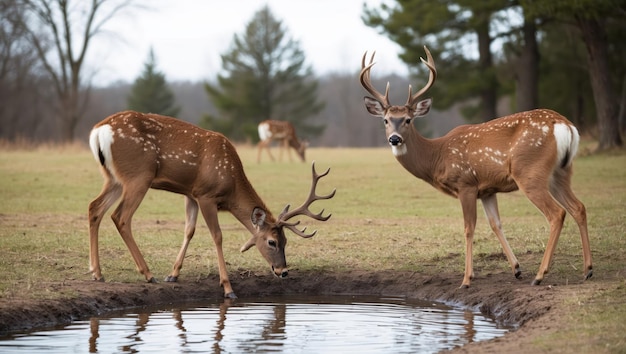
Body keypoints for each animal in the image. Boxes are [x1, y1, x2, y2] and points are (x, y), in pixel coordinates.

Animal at [86, 110, 336, 298]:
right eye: (272, 242)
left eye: (286, 241)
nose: (283, 271)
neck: (231, 184)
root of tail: (99, 130)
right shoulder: (206, 195)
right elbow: (217, 235)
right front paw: (228, 288)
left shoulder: (191, 193)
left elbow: (189, 230)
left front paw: (173, 274)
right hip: (138, 175)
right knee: (120, 217)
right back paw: (147, 274)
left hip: (113, 177)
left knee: (94, 208)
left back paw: (97, 273)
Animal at [358, 45, 588, 288]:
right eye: (385, 120)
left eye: (408, 120)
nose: (394, 139)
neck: (438, 156)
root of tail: (565, 126)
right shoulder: (487, 190)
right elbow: (496, 224)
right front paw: (516, 269)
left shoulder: (465, 183)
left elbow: (469, 228)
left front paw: (467, 279)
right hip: (561, 171)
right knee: (578, 207)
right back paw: (587, 270)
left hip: (530, 172)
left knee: (557, 213)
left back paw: (540, 275)